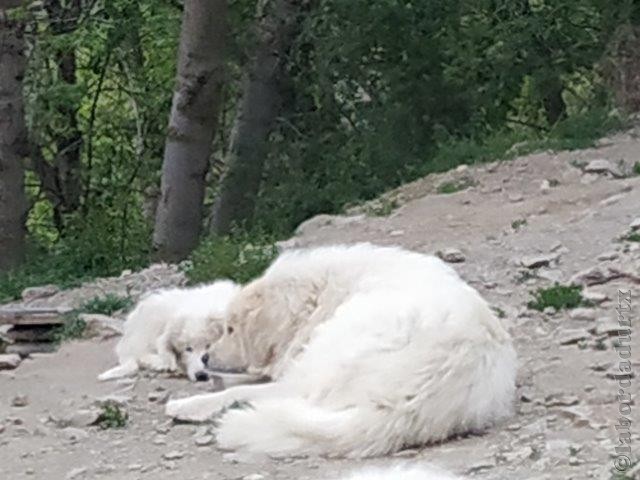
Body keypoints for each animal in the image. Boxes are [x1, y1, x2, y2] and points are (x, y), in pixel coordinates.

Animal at [166, 244, 520, 458]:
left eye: (231, 329)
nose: (206, 358)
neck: (325, 292)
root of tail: (409, 405)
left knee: (275, 394)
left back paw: (190, 406)